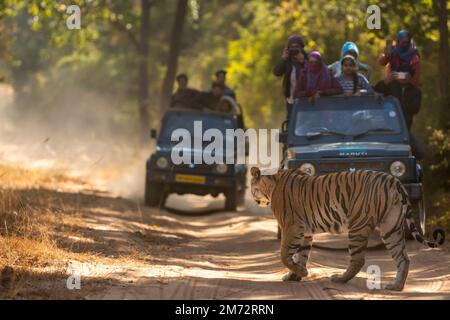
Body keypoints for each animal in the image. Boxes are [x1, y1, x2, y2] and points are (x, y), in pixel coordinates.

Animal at [251, 168, 444, 290]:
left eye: (252, 188)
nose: (254, 200)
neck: (271, 185)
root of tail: (392, 180)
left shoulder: (292, 227)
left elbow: (285, 255)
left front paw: (301, 272)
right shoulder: (305, 232)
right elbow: (301, 255)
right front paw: (295, 276)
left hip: (358, 226)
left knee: (358, 260)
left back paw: (339, 279)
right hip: (391, 228)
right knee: (403, 258)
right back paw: (396, 286)